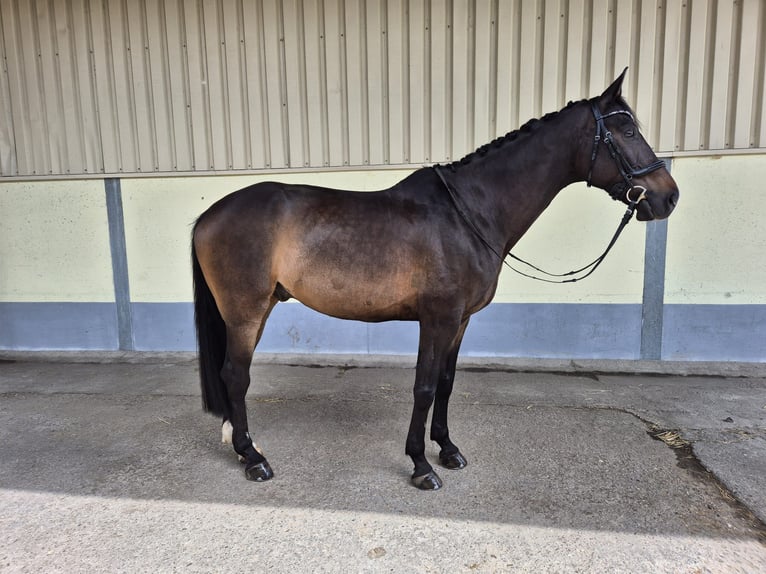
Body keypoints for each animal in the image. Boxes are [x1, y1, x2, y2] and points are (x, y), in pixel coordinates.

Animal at [191, 70, 679, 490]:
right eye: (627, 132)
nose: (668, 197)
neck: (468, 213)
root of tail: (209, 214)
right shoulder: (438, 318)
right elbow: (424, 387)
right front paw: (421, 466)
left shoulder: (460, 321)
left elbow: (445, 383)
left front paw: (447, 449)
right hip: (245, 312)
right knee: (235, 374)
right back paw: (253, 459)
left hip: (261, 308)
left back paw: (242, 446)